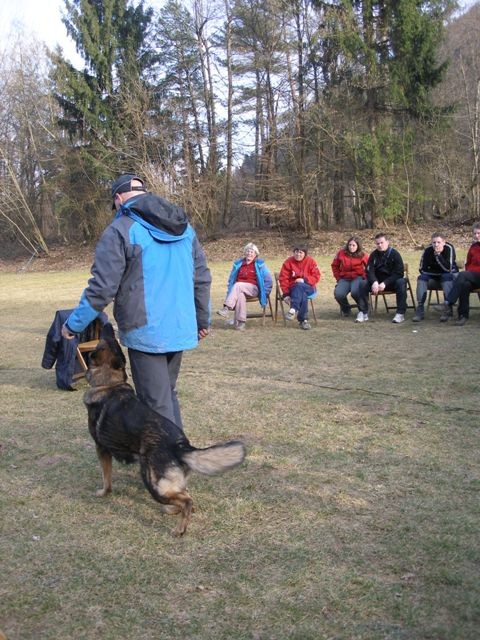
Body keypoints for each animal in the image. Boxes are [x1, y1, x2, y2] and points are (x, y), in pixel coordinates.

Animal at [83, 324, 246, 536]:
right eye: (112, 340)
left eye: (104, 340)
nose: (109, 324)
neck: (109, 384)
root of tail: (181, 445)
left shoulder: (101, 449)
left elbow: (106, 478)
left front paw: (103, 493)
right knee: (185, 497)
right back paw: (172, 511)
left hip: (154, 483)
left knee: (187, 501)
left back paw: (180, 529)